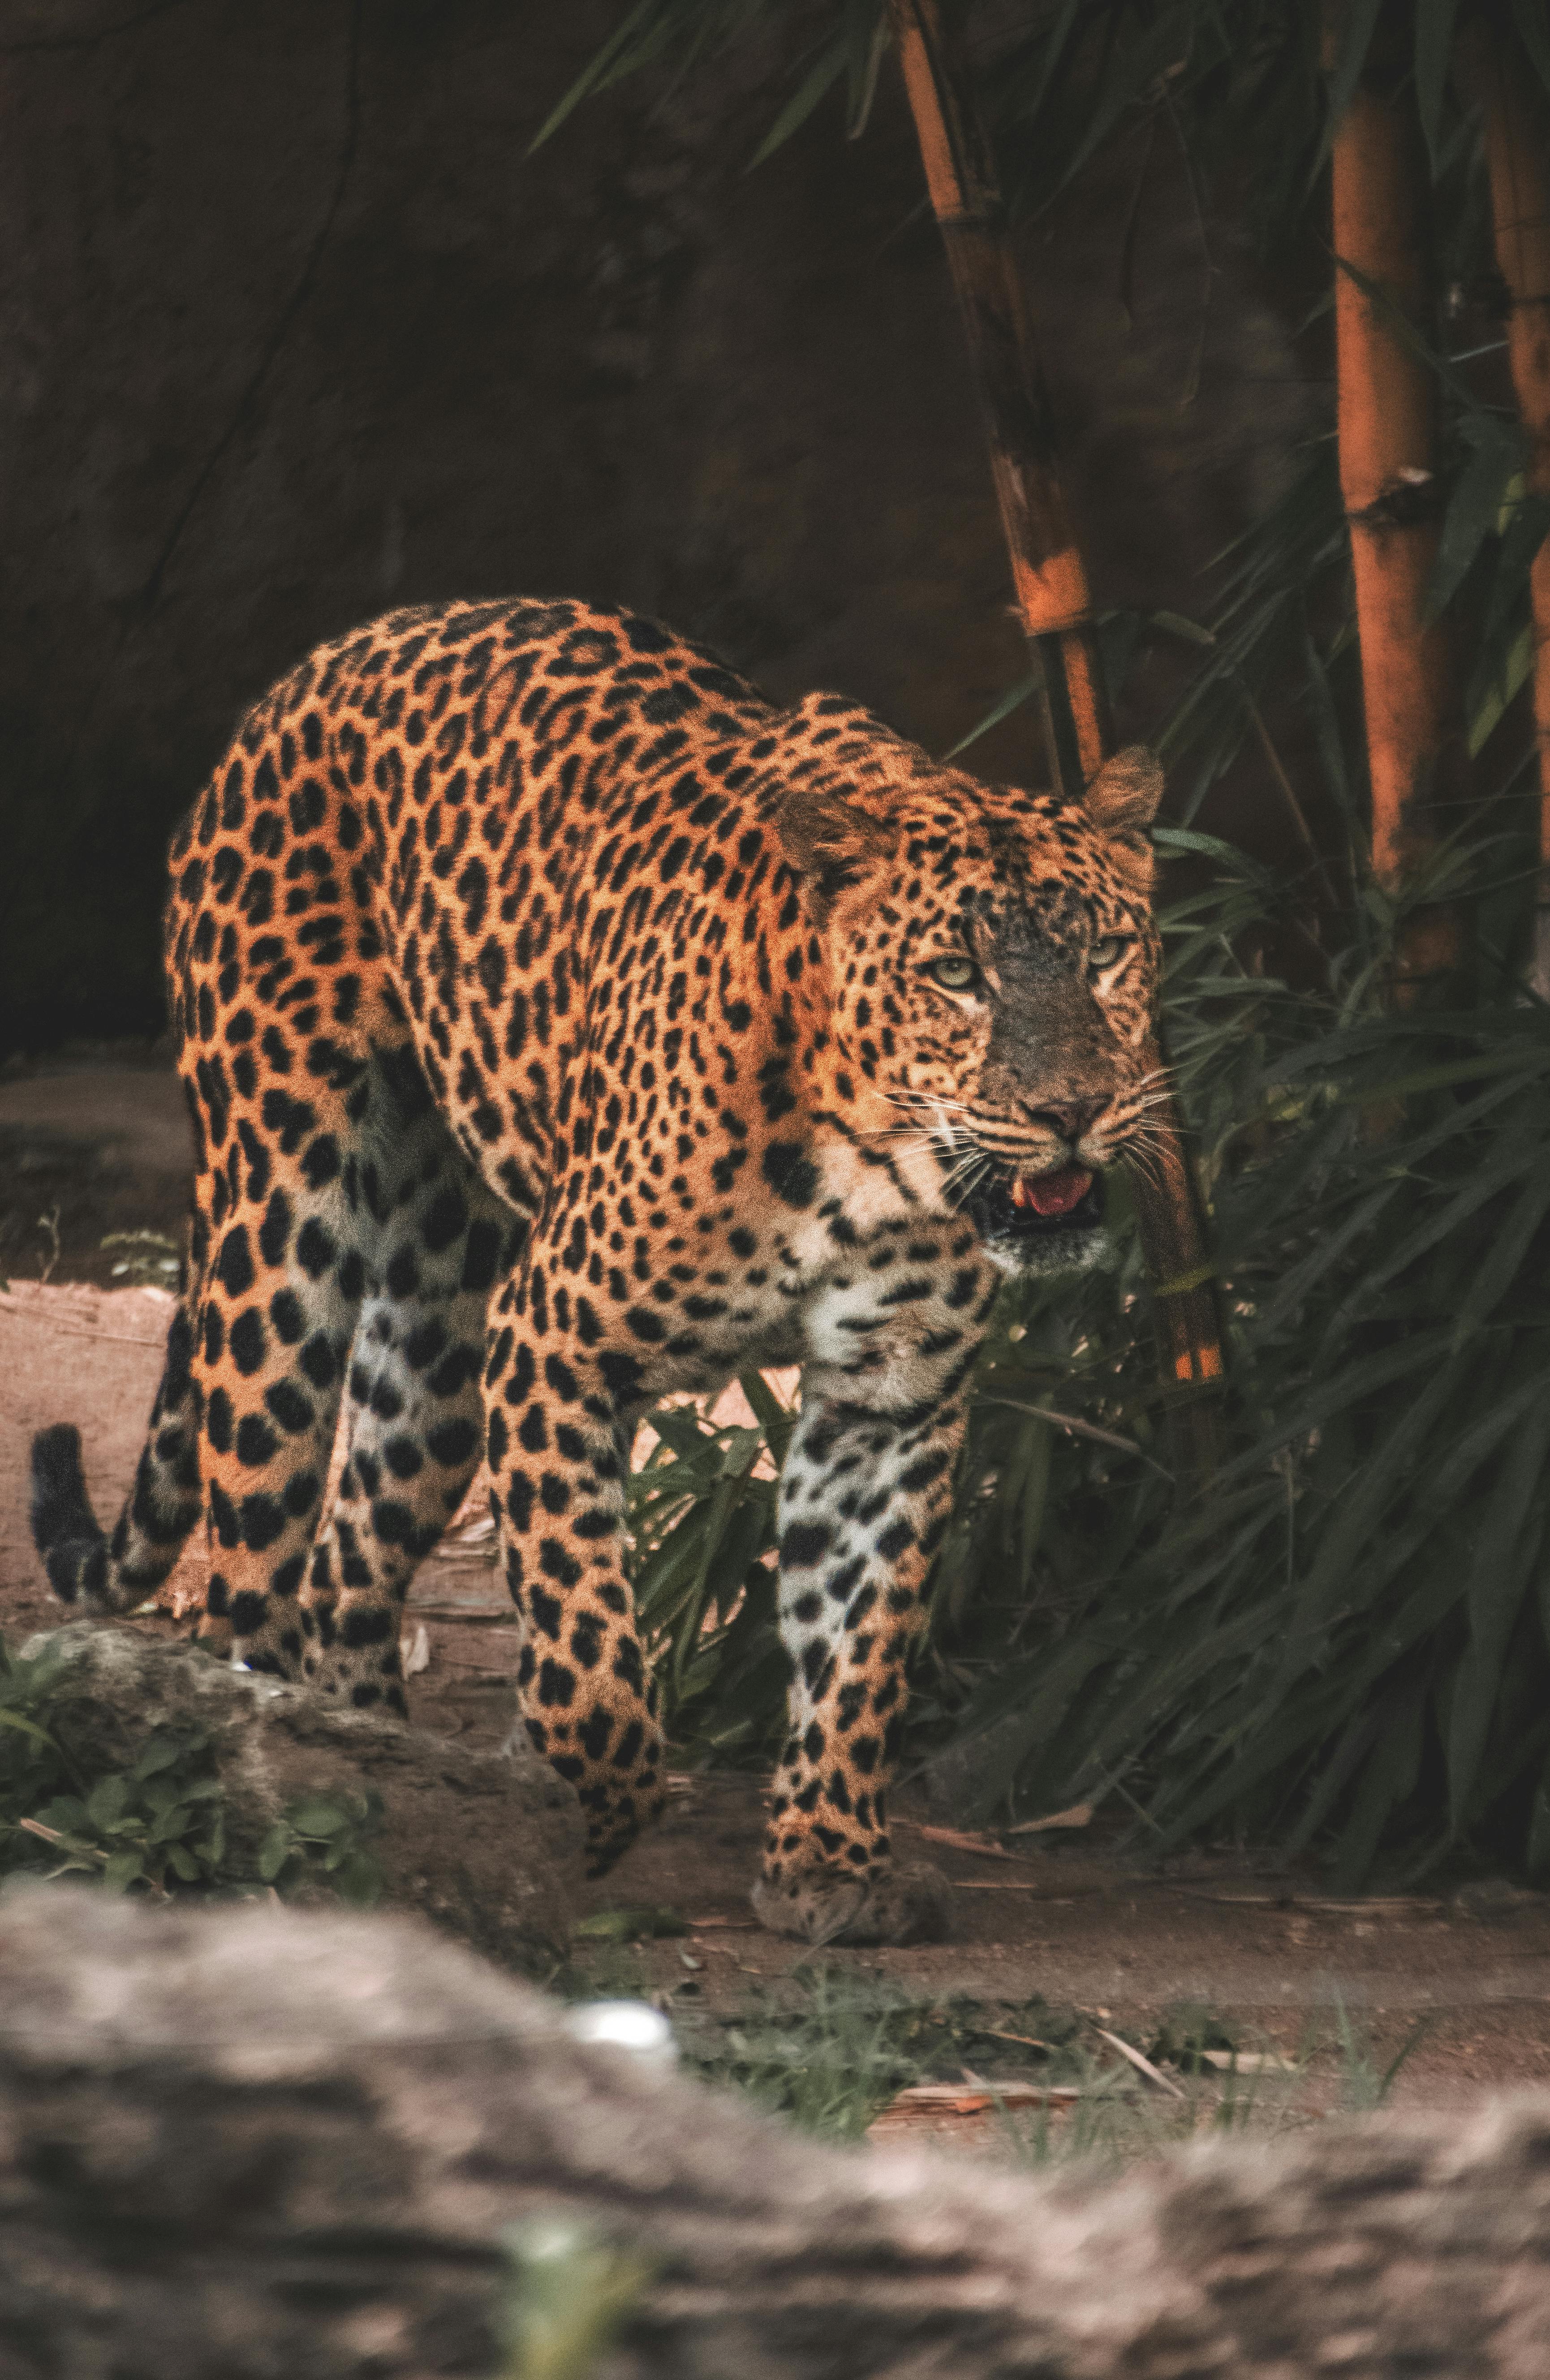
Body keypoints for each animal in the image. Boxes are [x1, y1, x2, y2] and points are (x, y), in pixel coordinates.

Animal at [30, 590, 1162, 1932]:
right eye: (957, 976)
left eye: (1105, 955)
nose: (1072, 1109)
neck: (873, 1165)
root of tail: (318, 662)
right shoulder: (553, 1343)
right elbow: (581, 1625)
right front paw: (603, 1794)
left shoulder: (889, 1406)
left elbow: (861, 1636)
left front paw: (827, 1859)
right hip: (283, 1230)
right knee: (250, 1558)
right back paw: (266, 1770)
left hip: (439, 1341)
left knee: (354, 1548)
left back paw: (381, 1777)